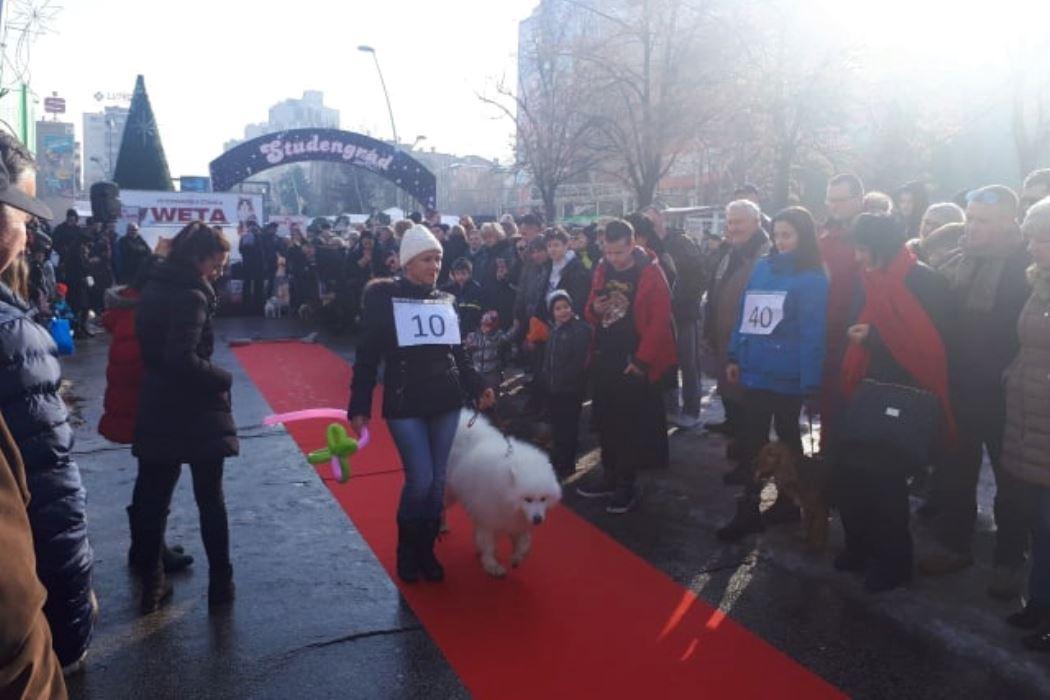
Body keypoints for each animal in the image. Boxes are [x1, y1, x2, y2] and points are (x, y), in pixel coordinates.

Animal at [445, 407, 562, 579]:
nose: (537, 519)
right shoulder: (489, 518)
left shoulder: (513, 520)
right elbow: (488, 544)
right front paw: (492, 565)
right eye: (527, 499)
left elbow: (525, 542)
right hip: (446, 492)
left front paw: (517, 558)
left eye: (543, 498)